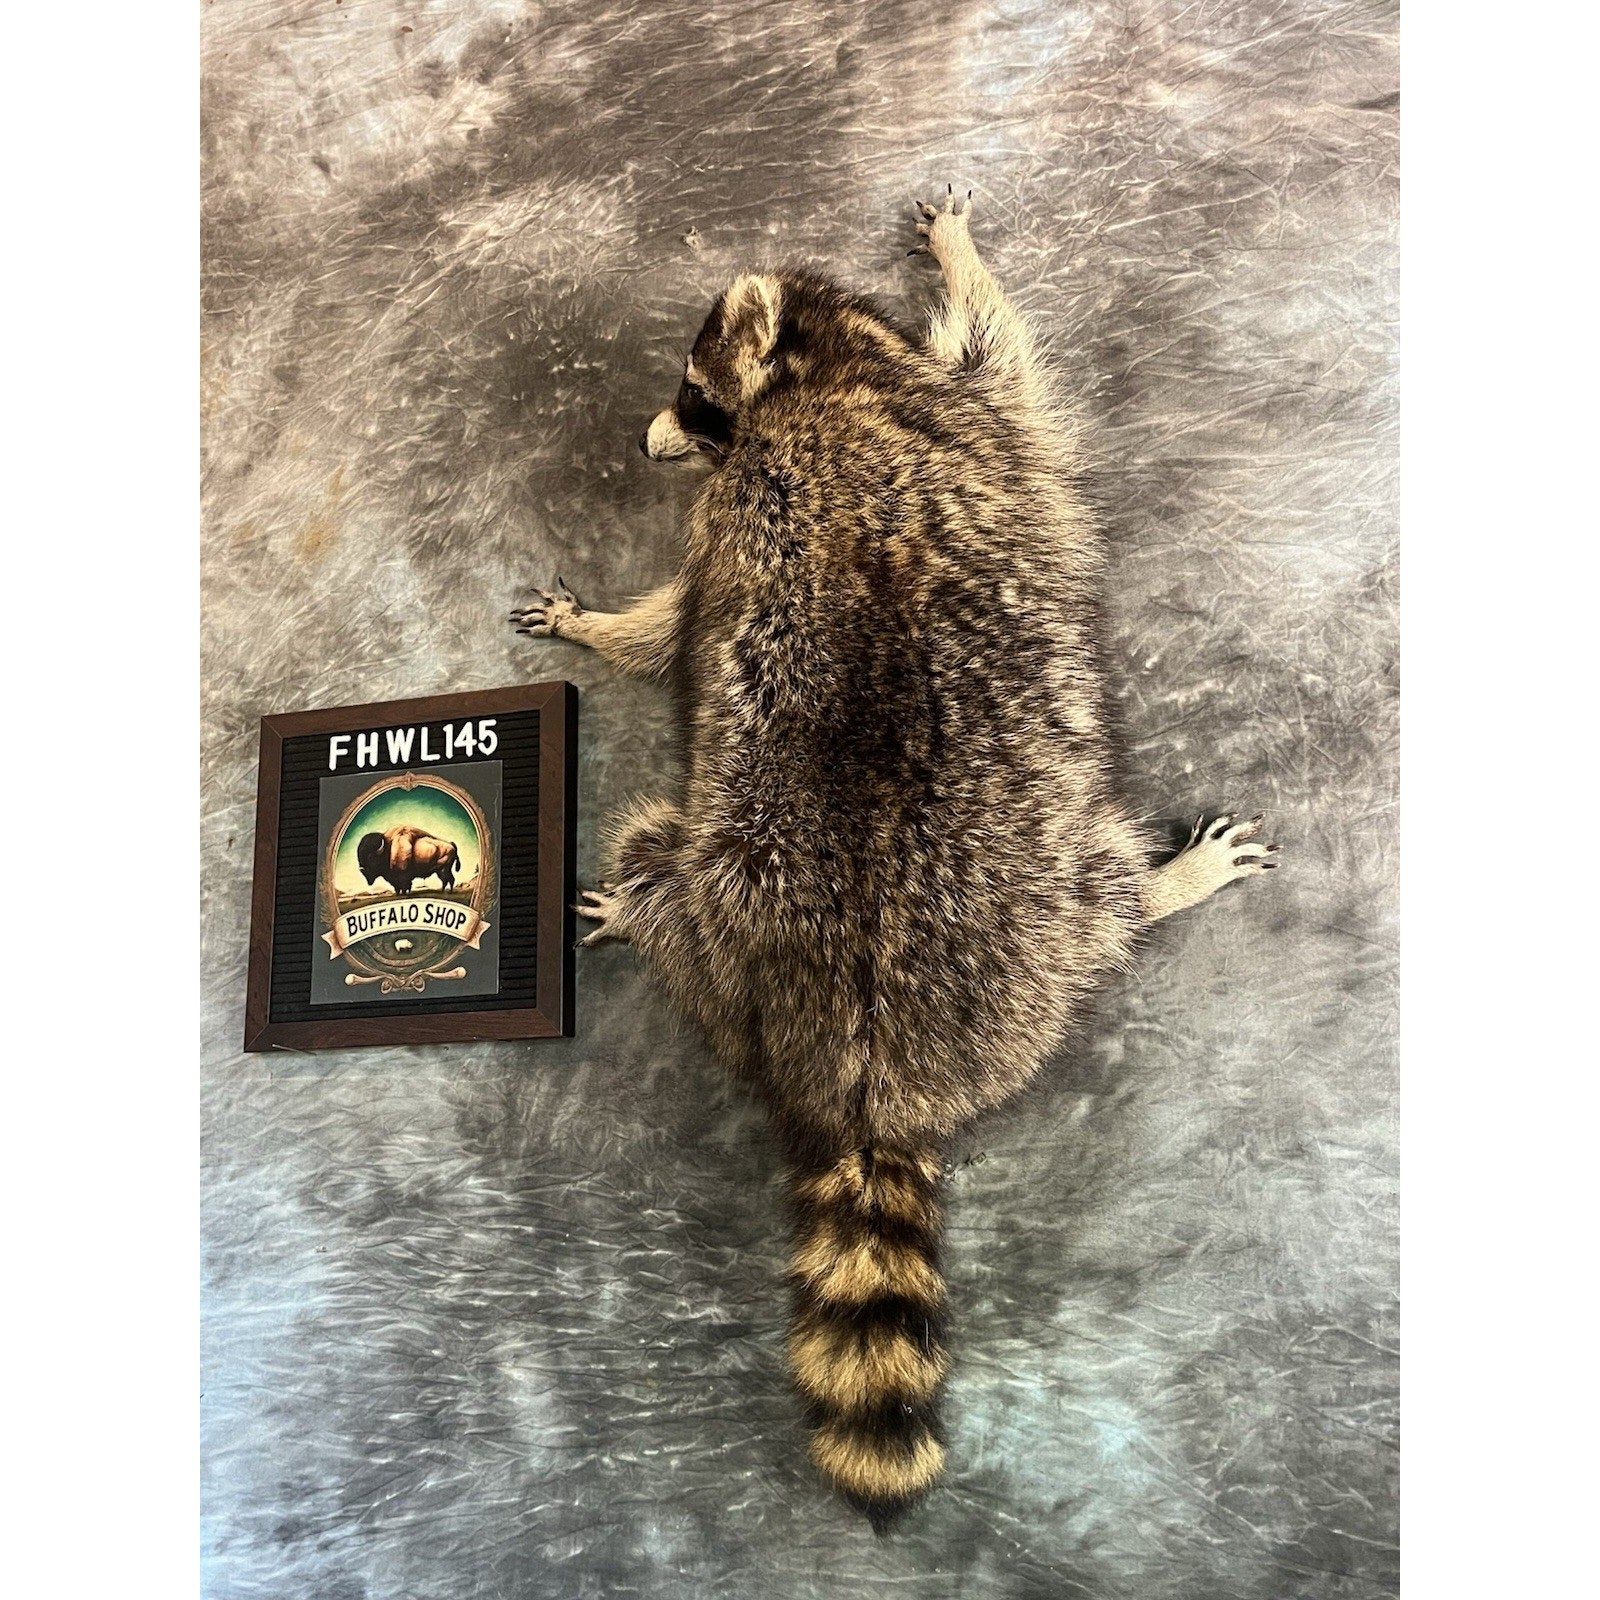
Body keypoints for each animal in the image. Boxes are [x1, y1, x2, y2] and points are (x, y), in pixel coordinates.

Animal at [511, 188, 1277, 1528]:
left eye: (691, 394)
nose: (650, 444)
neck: (829, 370)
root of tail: (871, 1077)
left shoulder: (874, 443)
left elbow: (996, 353)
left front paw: (604, 625)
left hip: (1010, 904)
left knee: (1089, 892)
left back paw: (1153, 891)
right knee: (658, 846)